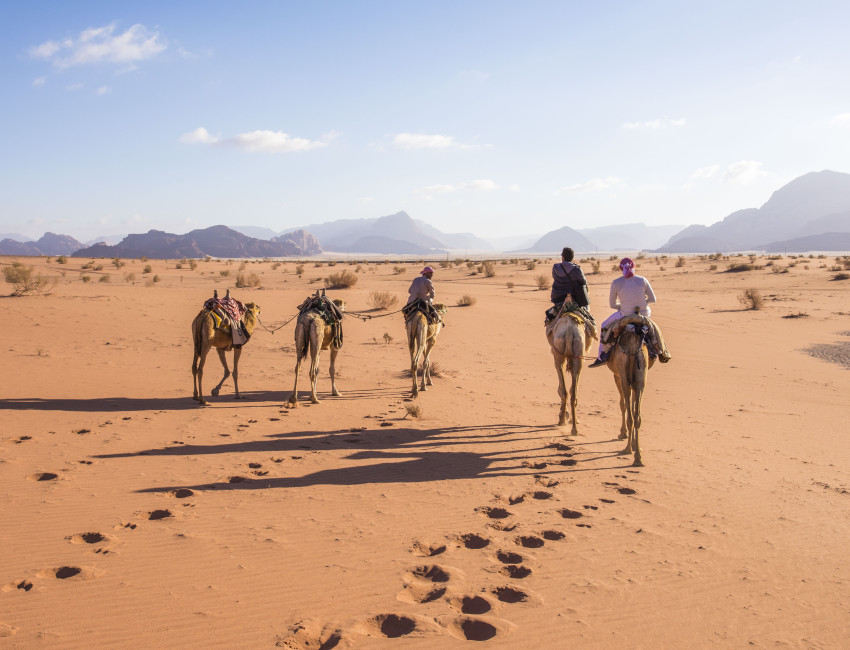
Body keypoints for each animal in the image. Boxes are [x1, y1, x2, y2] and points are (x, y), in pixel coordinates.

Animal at [604, 316, 656, 464]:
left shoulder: (617, 376)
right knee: (637, 416)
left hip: (624, 378)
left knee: (630, 415)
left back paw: (627, 450)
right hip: (640, 378)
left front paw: (622, 433)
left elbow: (623, 405)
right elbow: (632, 407)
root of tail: (633, 347)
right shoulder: (634, 383)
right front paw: (632, 442)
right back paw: (637, 457)